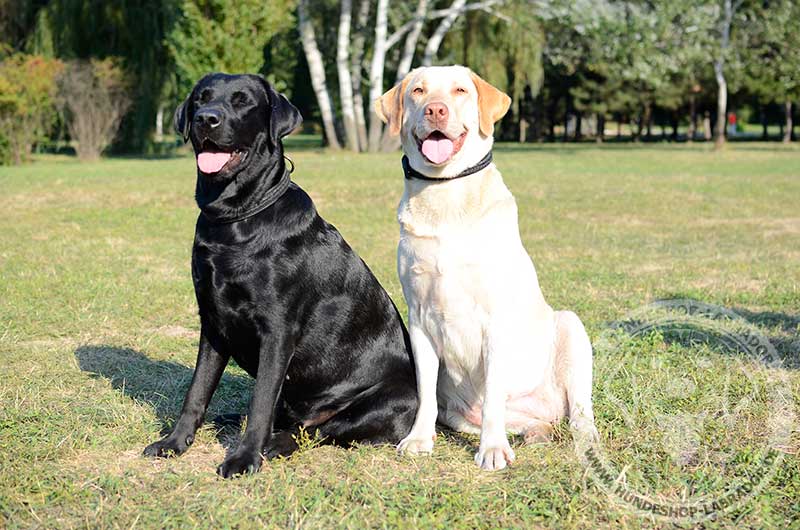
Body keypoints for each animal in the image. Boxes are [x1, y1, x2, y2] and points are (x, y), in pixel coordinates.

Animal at [145, 73, 418, 474]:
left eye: (242, 101)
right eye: (200, 99)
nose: (206, 118)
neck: (235, 219)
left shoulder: (277, 332)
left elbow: (260, 402)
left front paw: (244, 458)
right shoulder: (212, 323)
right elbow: (196, 392)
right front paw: (174, 442)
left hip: (387, 401)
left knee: (313, 432)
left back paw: (274, 443)